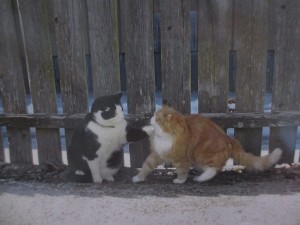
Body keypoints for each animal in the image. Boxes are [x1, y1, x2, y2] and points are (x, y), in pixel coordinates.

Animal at [132, 105, 282, 183]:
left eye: (157, 118)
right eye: (154, 116)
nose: (151, 119)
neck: (166, 136)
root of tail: (229, 139)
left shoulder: (181, 159)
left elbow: (182, 171)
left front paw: (179, 180)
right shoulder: (156, 154)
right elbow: (146, 166)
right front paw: (138, 178)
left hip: (200, 153)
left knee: (215, 169)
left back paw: (200, 178)